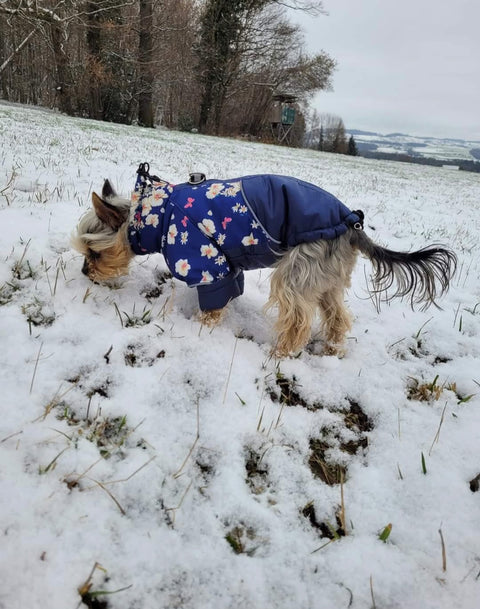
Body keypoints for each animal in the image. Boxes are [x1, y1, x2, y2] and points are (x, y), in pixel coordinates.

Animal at [72, 164, 458, 358]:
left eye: (93, 252)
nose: (86, 272)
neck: (153, 214)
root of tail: (351, 222)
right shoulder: (228, 263)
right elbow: (231, 288)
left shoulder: (205, 259)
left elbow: (213, 297)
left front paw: (200, 327)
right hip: (328, 275)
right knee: (336, 314)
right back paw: (332, 348)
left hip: (301, 266)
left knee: (298, 315)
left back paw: (281, 352)